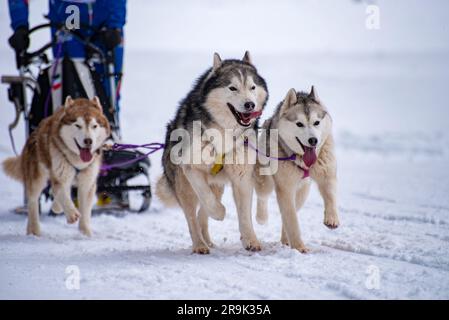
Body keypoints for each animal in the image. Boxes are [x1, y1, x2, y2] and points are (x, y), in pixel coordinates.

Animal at [2, 96, 110, 236]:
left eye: (94, 126)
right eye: (78, 125)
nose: (88, 141)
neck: (77, 160)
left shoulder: (87, 182)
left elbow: (85, 209)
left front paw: (85, 232)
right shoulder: (59, 177)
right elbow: (61, 193)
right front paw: (71, 213)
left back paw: (56, 208)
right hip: (37, 178)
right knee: (33, 201)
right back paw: (34, 229)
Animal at [155, 51, 266, 254]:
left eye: (252, 87)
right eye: (232, 88)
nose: (250, 104)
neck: (224, 131)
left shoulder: (242, 176)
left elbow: (244, 215)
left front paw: (250, 240)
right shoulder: (191, 168)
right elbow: (208, 200)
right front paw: (221, 213)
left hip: (217, 185)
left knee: (202, 214)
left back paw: (207, 240)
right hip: (185, 187)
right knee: (193, 216)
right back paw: (200, 244)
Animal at [254, 87, 338, 252]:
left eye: (316, 122)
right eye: (299, 124)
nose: (313, 140)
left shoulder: (326, 173)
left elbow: (330, 194)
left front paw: (332, 218)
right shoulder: (285, 188)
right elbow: (292, 220)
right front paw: (300, 247)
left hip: (302, 191)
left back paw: (285, 239)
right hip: (266, 180)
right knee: (264, 197)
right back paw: (262, 217)